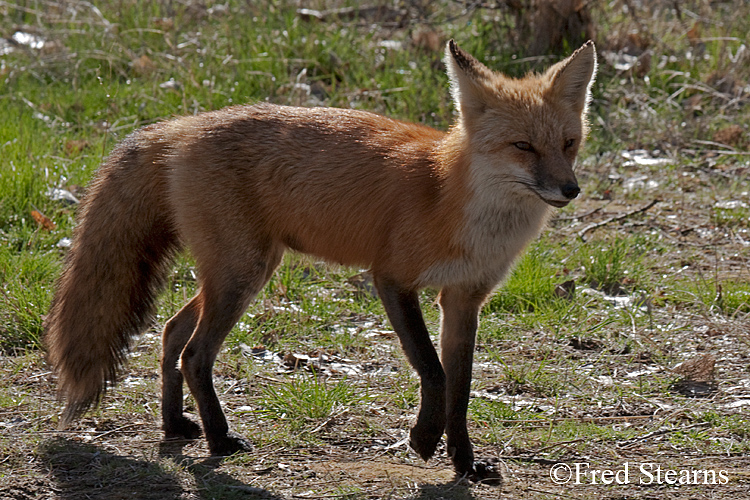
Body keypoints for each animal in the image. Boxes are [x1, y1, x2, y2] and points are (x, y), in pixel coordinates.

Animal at [47, 40, 600, 484]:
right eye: (523, 146)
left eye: (568, 143)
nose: (569, 190)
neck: (449, 197)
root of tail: (182, 126)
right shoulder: (392, 279)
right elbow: (434, 372)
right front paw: (423, 441)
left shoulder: (464, 299)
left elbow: (460, 391)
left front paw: (465, 464)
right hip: (245, 273)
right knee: (195, 352)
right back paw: (220, 440)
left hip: (232, 273)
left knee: (170, 332)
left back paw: (176, 425)